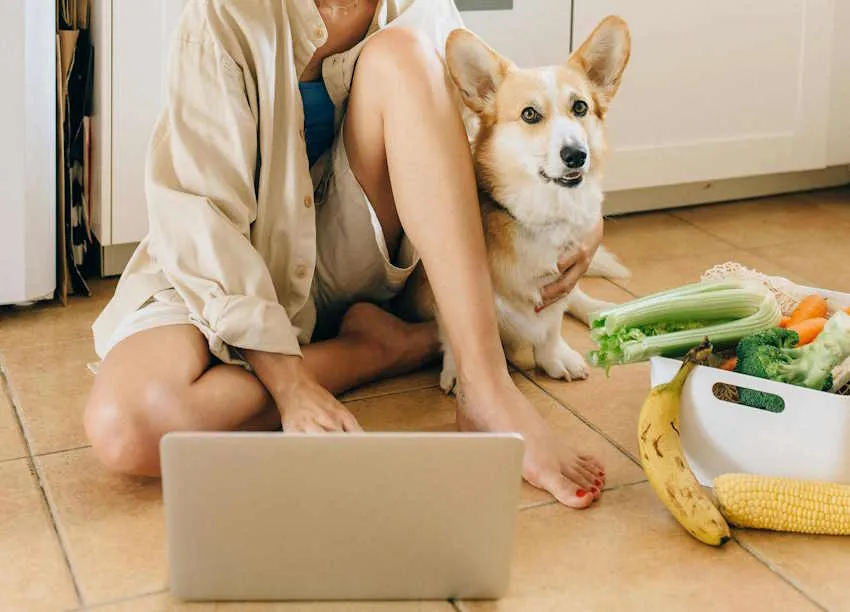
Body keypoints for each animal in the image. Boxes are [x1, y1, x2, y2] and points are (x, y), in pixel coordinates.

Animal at [400, 16, 628, 394]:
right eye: (530, 114)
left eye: (580, 107)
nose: (576, 155)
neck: (542, 215)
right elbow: (453, 334)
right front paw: (455, 373)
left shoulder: (561, 279)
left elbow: (552, 325)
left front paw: (554, 356)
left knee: (579, 297)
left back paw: (603, 312)